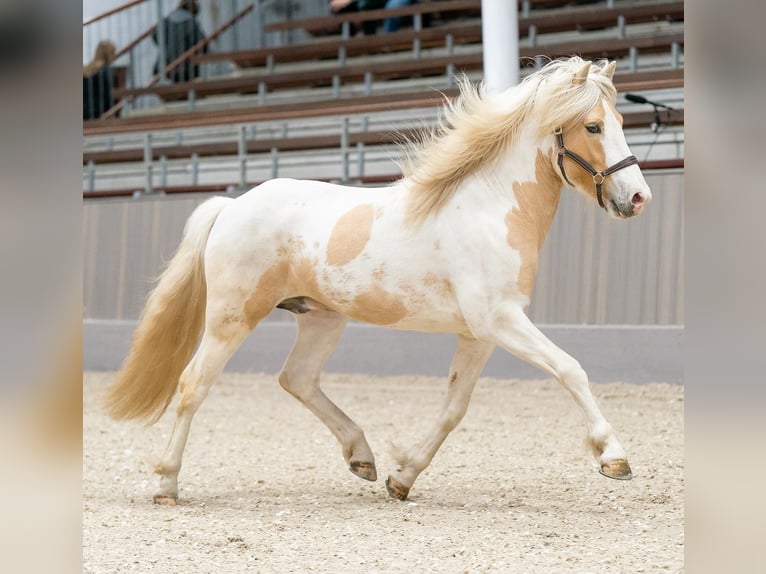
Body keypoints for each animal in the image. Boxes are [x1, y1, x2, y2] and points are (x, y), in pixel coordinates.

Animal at [103, 57, 651, 505]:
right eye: (594, 125)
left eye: (623, 122)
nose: (639, 198)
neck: (489, 208)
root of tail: (232, 205)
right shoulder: (500, 321)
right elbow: (571, 369)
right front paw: (613, 457)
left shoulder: (480, 334)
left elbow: (454, 408)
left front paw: (402, 478)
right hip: (232, 316)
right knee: (193, 384)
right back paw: (167, 483)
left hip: (321, 319)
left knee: (297, 378)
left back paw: (361, 457)